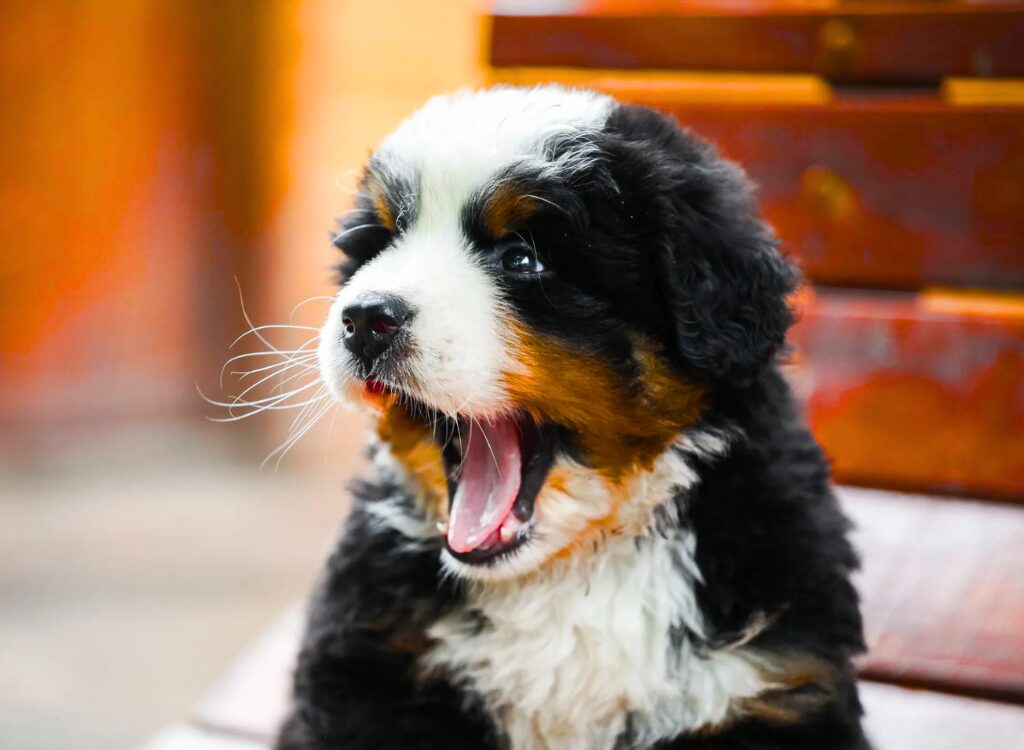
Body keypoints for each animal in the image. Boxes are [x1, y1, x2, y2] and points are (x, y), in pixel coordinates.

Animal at [276, 85, 868, 750]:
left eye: (522, 259)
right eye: (379, 244)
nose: (366, 318)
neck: (572, 567)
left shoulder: (773, 682)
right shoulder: (373, 668)